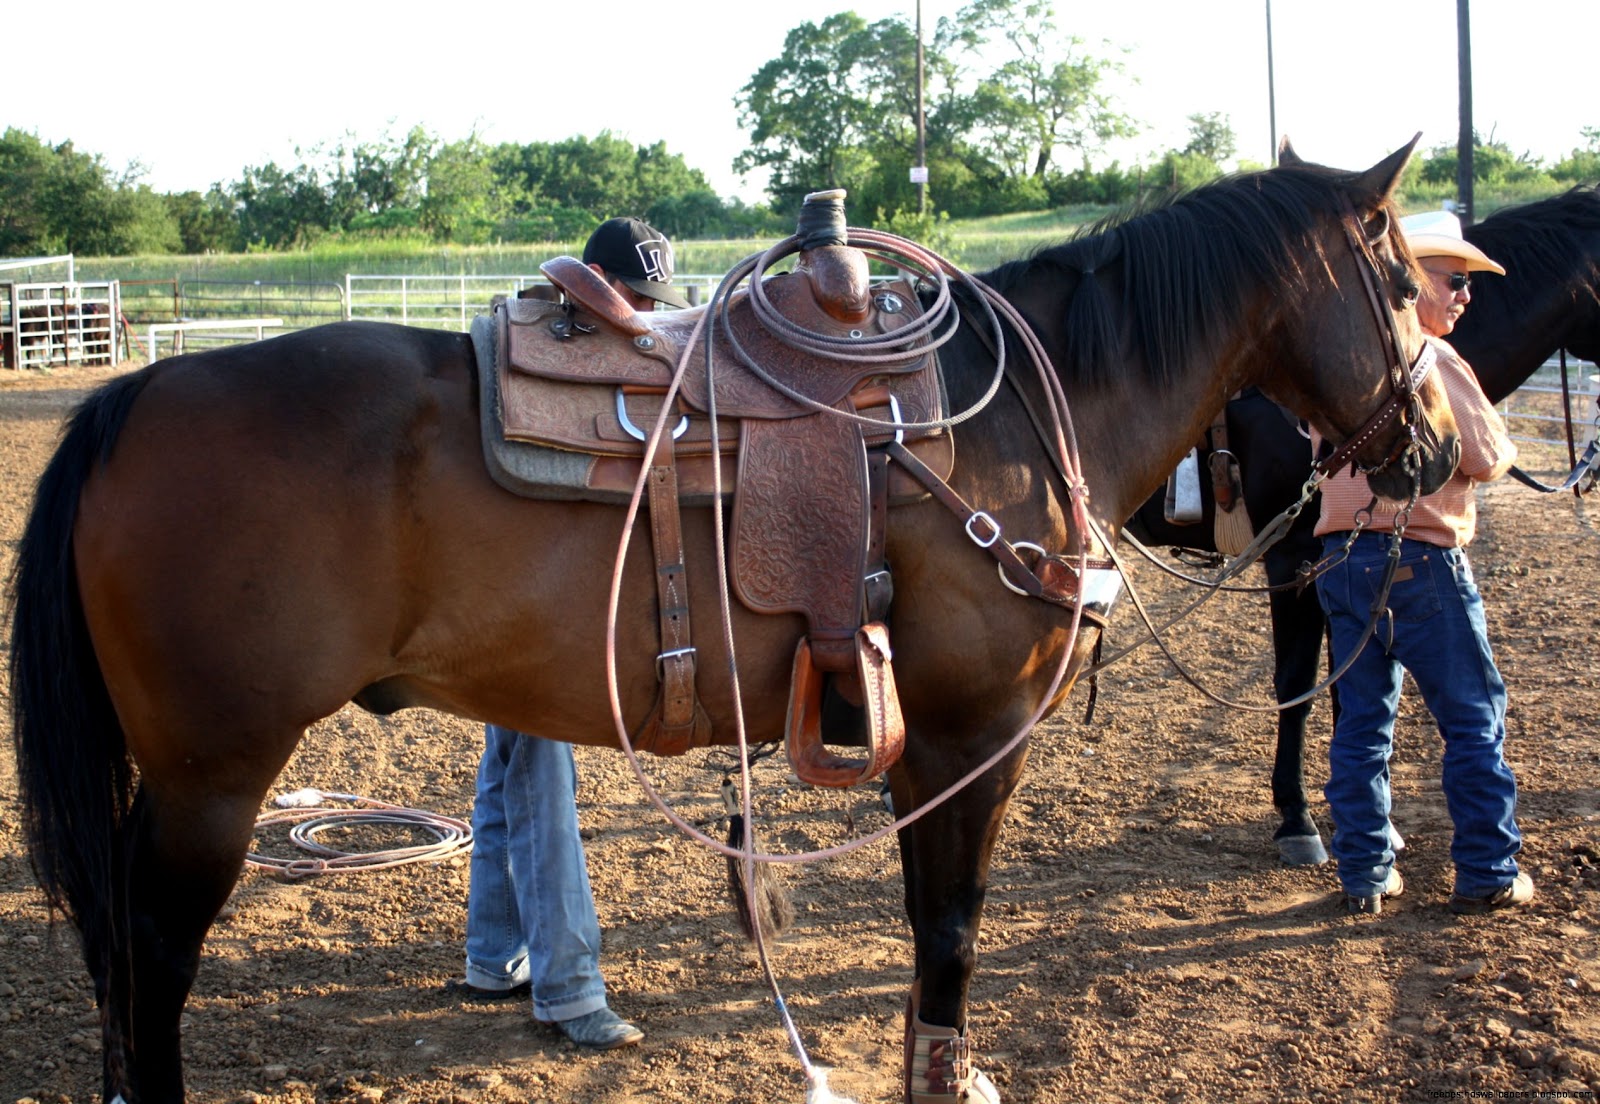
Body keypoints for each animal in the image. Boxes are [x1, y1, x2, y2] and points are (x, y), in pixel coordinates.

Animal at [6, 139, 1456, 1104]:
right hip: (212, 777)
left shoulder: (920, 742)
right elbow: (954, 923)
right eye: (1400, 286)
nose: (1440, 447)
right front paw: (946, 1073)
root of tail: (130, 396)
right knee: (149, 955)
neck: (1007, 416)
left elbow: (930, 915)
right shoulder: (968, 735)